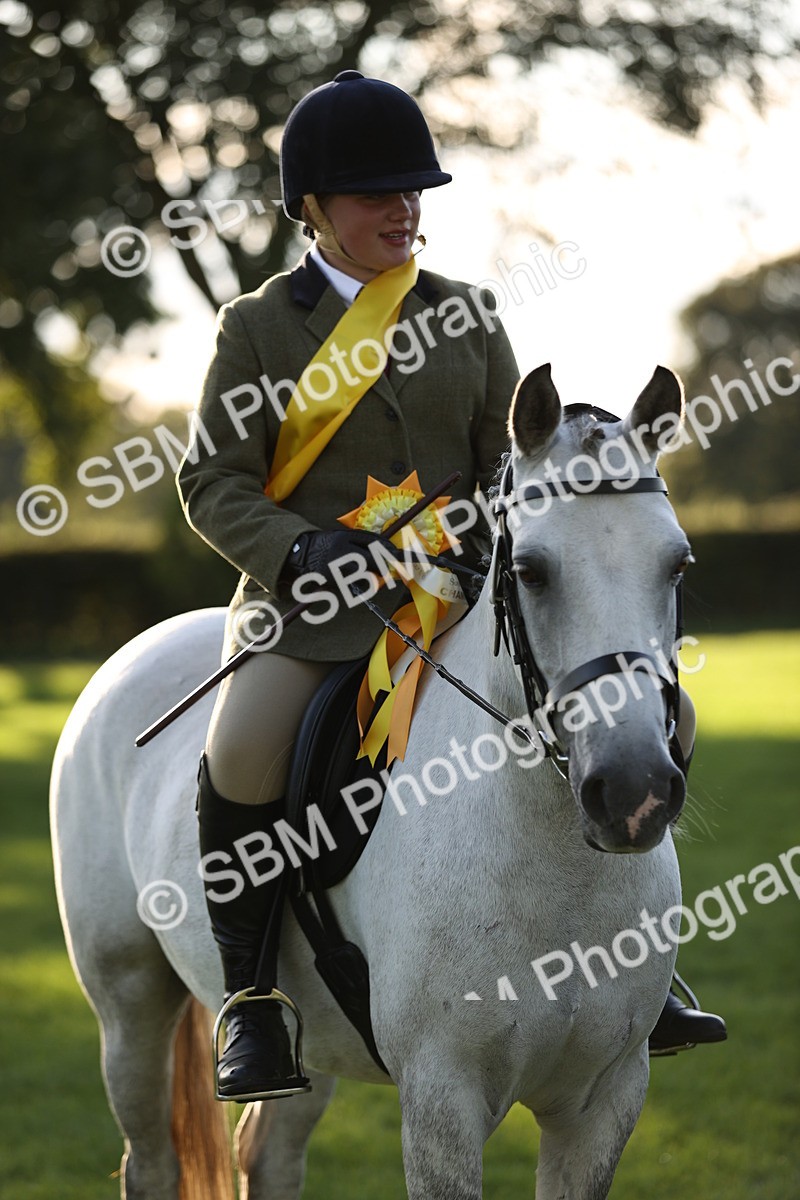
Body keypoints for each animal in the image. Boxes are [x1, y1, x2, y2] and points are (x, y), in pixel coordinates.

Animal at [51, 363, 692, 1200]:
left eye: (677, 563)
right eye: (531, 571)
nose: (633, 793)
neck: (556, 863)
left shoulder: (603, 1102)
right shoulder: (442, 1101)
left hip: (312, 1036)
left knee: (269, 1154)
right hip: (129, 1005)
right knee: (151, 1160)